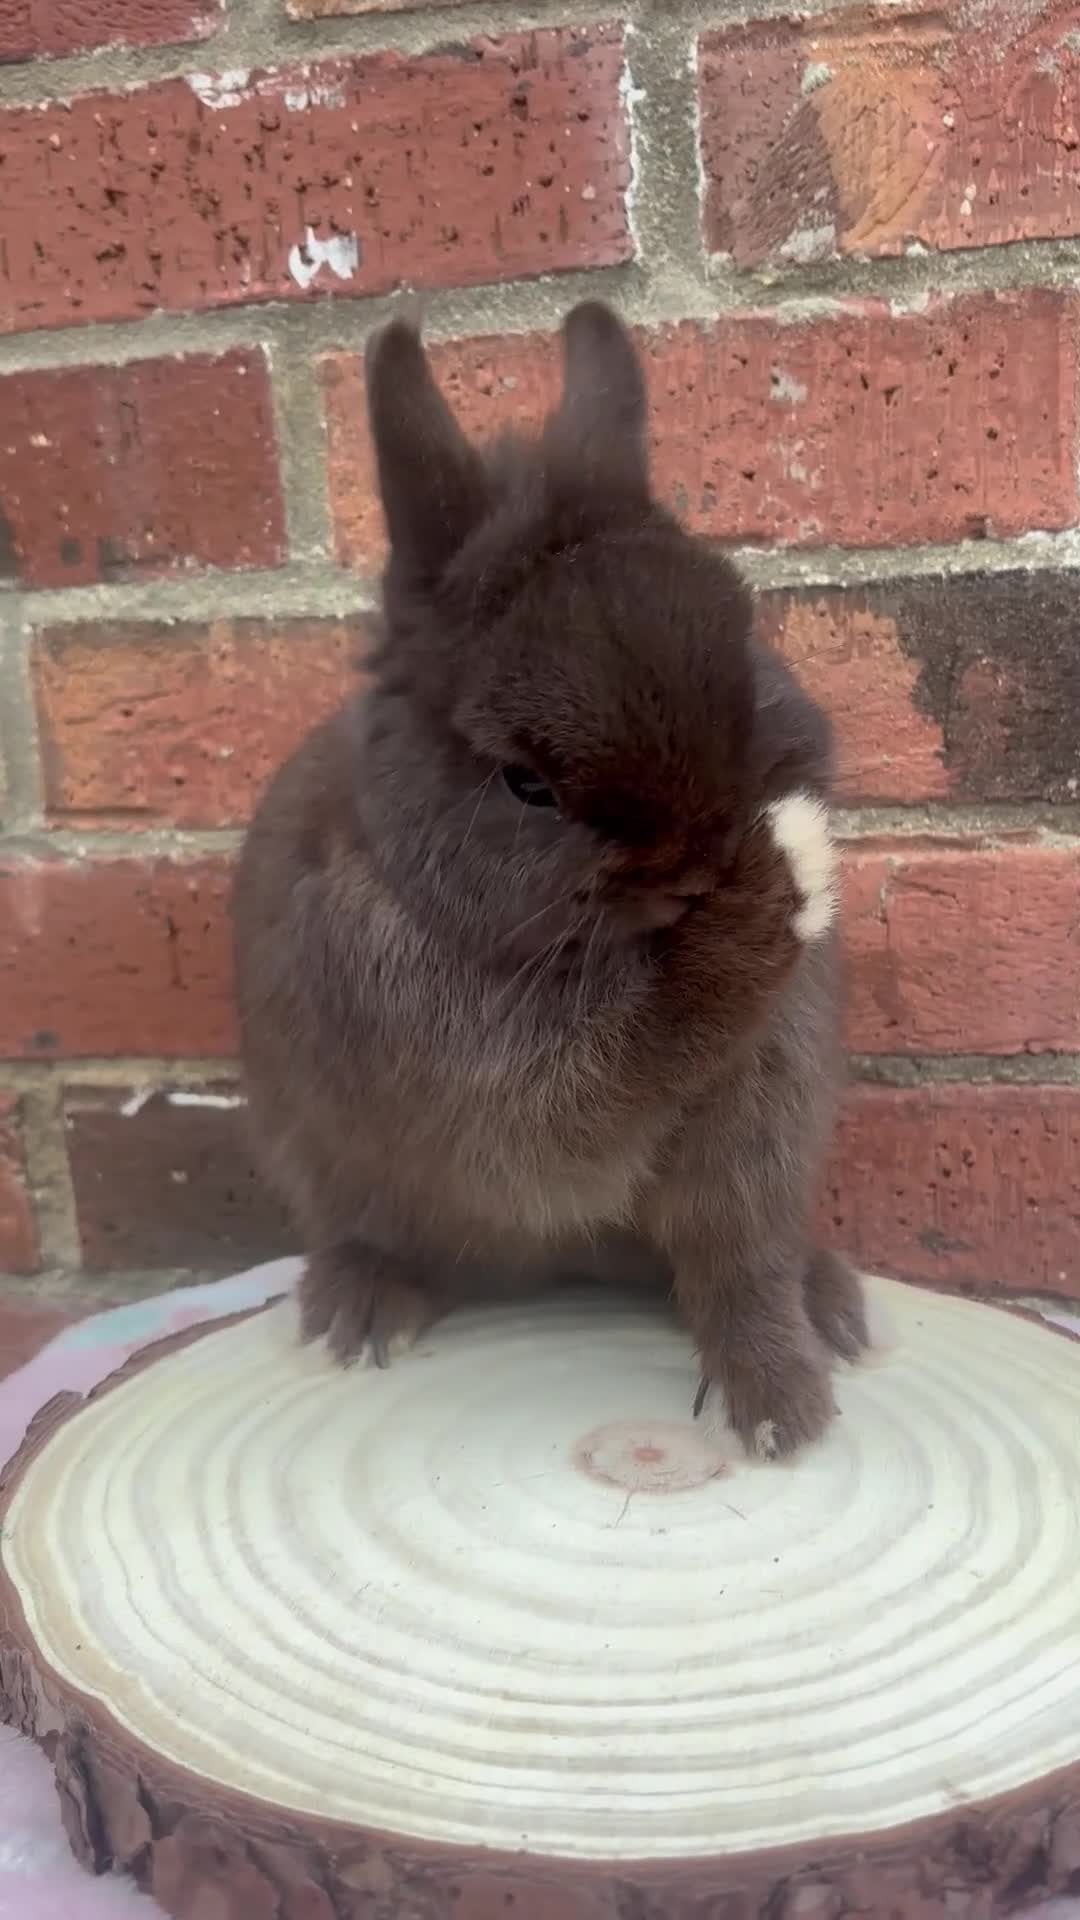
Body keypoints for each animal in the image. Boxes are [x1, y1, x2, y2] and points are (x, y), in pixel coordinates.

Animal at [232, 300, 867, 1460]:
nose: (704, 860)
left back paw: (833, 1304)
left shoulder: (760, 1129)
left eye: (745, 656)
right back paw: (358, 1311)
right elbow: (639, 1054)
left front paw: (782, 1413)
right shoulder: (498, 1082)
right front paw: (774, 893)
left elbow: (741, 1268)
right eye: (525, 782)